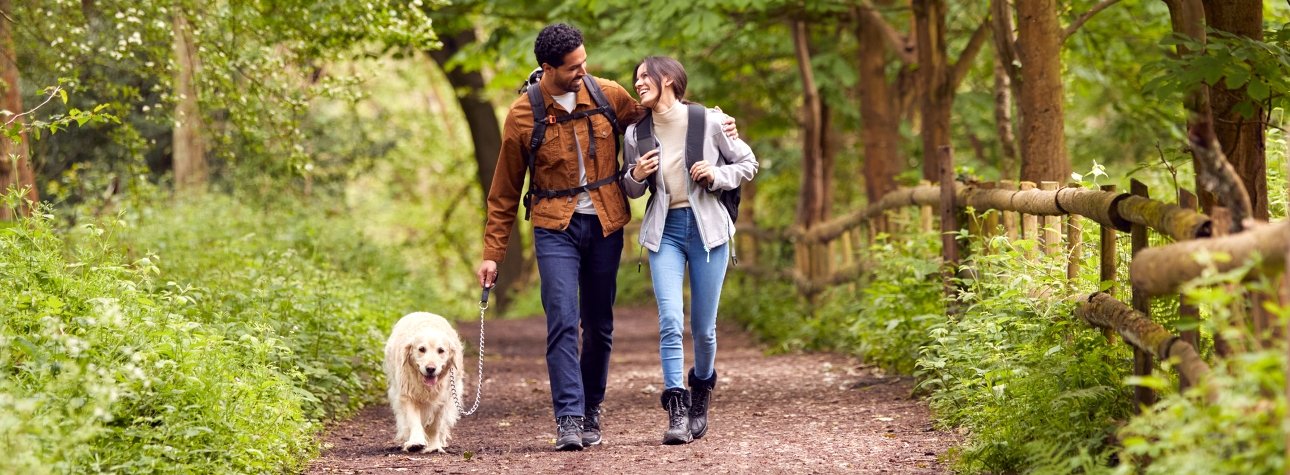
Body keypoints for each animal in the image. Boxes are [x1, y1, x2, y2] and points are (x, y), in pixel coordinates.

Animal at [381, 312, 464, 451]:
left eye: (441, 350)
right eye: (421, 349)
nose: (430, 369)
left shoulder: (442, 399)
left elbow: (435, 425)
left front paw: (434, 446)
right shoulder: (408, 395)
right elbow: (413, 421)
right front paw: (415, 442)